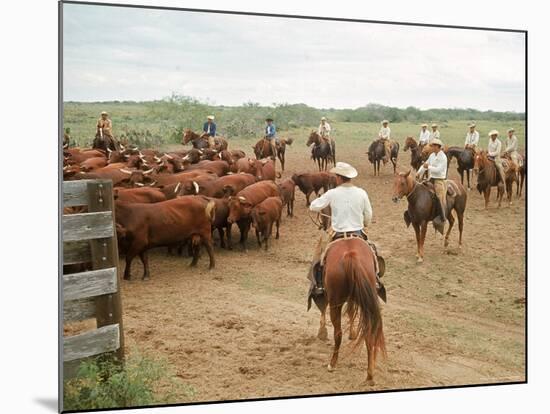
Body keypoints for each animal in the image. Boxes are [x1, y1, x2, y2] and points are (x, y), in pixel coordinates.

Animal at [314, 239, 388, 384]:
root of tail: (350, 255)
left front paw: (322, 332)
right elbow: (351, 310)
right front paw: (353, 333)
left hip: (335, 303)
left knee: (338, 333)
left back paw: (332, 364)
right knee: (369, 333)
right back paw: (370, 375)